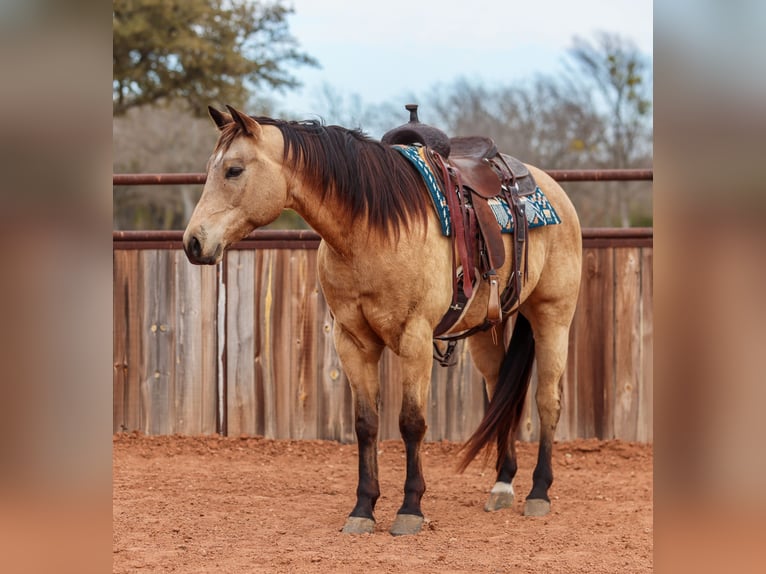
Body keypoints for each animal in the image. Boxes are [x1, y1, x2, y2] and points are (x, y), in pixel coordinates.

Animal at [183, 105, 582, 536]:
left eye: (234, 170)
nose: (193, 242)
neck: (371, 230)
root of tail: (549, 187)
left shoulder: (415, 339)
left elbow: (411, 423)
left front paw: (410, 508)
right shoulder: (352, 340)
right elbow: (366, 424)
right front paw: (363, 508)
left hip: (553, 316)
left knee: (548, 400)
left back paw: (539, 492)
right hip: (486, 329)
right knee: (500, 394)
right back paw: (503, 485)